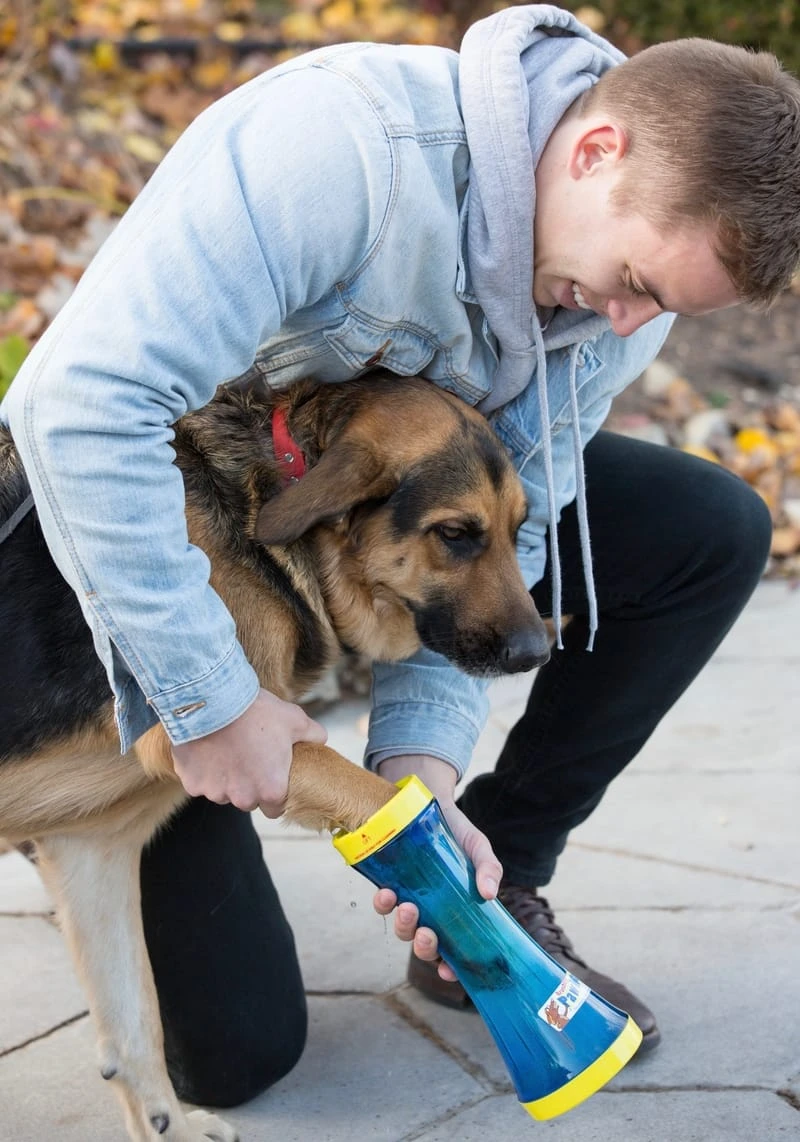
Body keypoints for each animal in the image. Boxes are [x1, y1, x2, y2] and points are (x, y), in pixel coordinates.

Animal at [0, 370, 550, 1137]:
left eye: (518, 530)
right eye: (455, 535)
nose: (538, 654)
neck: (272, 489)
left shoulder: (90, 850)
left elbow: (133, 1028)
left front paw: (168, 1125)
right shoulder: (251, 743)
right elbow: (383, 802)